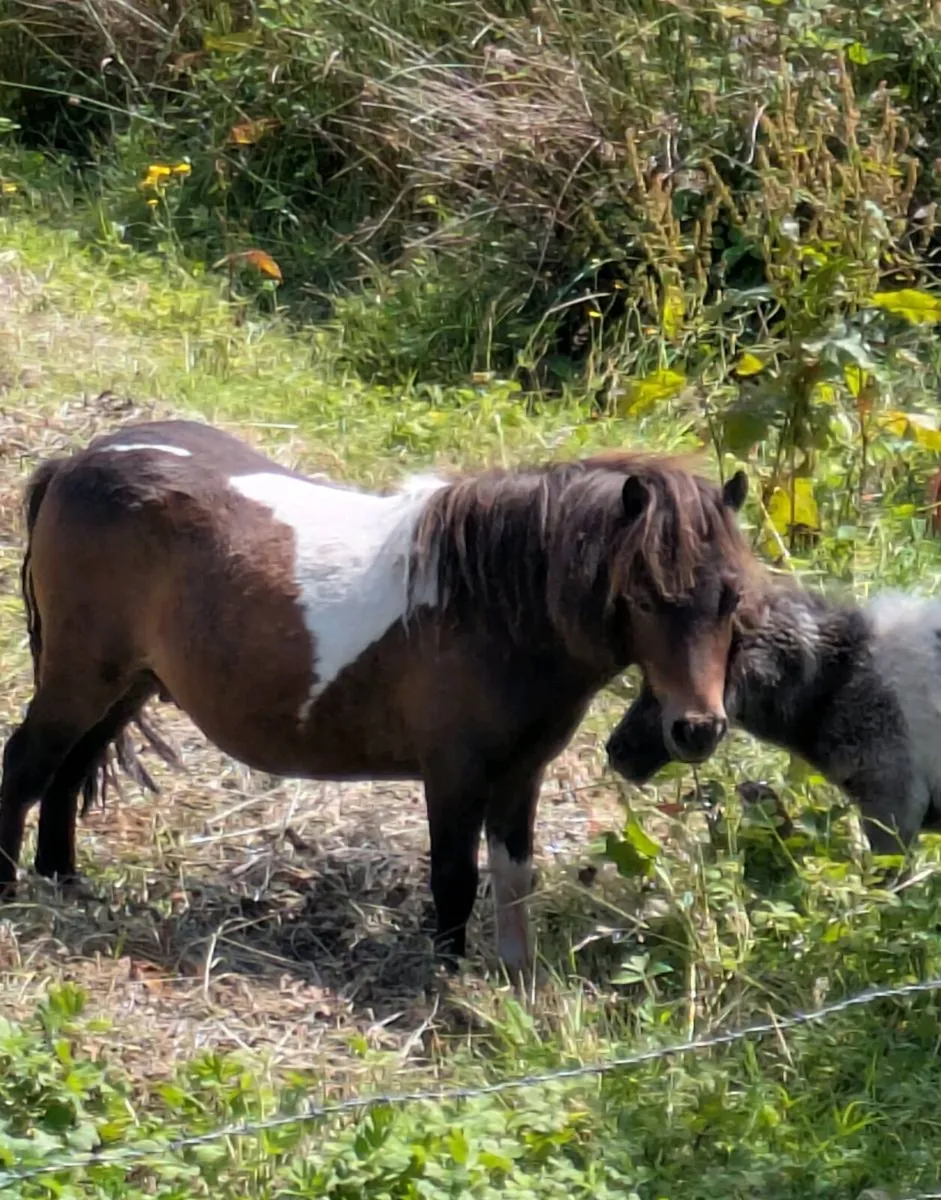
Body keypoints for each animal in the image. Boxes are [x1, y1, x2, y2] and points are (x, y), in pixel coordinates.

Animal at [0, 418, 753, 973]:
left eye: (731, 596)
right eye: (645, 597)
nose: (697, 729)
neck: (489, 604)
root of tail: (79, 460)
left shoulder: (521, 776)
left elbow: (514, 878)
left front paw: (516, 985)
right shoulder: (453, 775)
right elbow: (454, 879)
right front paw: (446, 978)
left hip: (127, 684)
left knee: (69, 770)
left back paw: (62, 879)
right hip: (80, 677)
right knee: (26, 767)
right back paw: (11, 890)